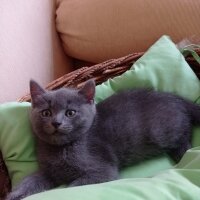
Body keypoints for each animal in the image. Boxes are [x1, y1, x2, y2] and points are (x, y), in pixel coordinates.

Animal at [6, 79, 200, 199]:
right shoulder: (48, 172)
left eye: (70, 113)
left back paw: (183, 152)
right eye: (46, 113)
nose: (56, 122)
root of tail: (177, 98)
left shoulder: (102, 170)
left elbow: (73, 186)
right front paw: (15, 194)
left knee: (185, 132)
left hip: (163, 131)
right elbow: (30, 181)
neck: (62, 149)